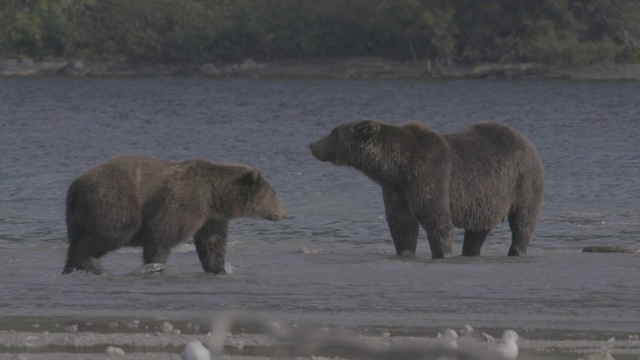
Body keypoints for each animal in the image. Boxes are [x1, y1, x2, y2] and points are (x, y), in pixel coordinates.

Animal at [62, 155, 288, 276]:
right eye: (274, 193)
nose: (285, 212)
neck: (214, 197)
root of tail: (76, 186)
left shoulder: (212, 219)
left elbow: (212, 244)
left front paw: (219, 269)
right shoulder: (184, 202)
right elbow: (161, 236)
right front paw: (155, 266)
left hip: (75, 216)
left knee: (73, 243)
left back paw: (71, 268)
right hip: (115, 201)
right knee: (116, 231)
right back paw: (94, 264)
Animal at [310, 121, 544, 258]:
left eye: (332, 133)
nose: (312, 145)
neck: (397, 167)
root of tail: (527, 140)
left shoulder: (430, 174)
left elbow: (434, 217)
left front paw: (442, 252)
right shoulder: (396, 191)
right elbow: (401, 223)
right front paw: (405, 251)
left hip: (522, 179)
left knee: (523, 220)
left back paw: (516, 250)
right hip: (486, 196)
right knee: (478, 227)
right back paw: (471, 251)